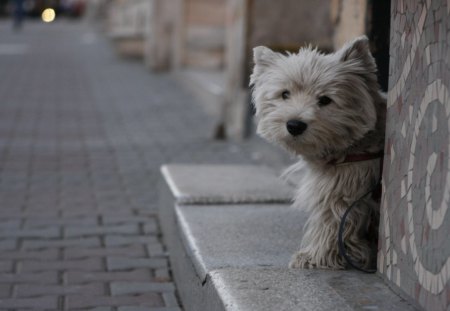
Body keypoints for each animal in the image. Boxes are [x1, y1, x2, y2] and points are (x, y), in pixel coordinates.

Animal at [250, 36, 384, 270]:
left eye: (325, 99)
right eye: (285, 94)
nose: (294, 125)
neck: (354, 147)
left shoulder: (341, 189)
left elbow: (332, 222)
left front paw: (314, 257)